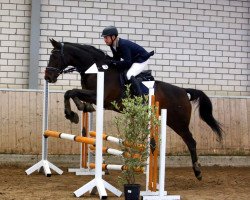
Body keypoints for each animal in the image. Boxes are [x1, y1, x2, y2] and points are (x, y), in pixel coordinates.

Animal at [45, 38, 223, 180]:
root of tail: (184, 92)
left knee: (191, 142)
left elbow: (71, 92)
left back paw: (198, 172)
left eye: (54, 57)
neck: (96, 69)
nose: (48, 77)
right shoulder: (93, 96)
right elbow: (71, 93)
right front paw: (79, 109)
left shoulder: (99, 96)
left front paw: (71, 114)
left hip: (178, 122)